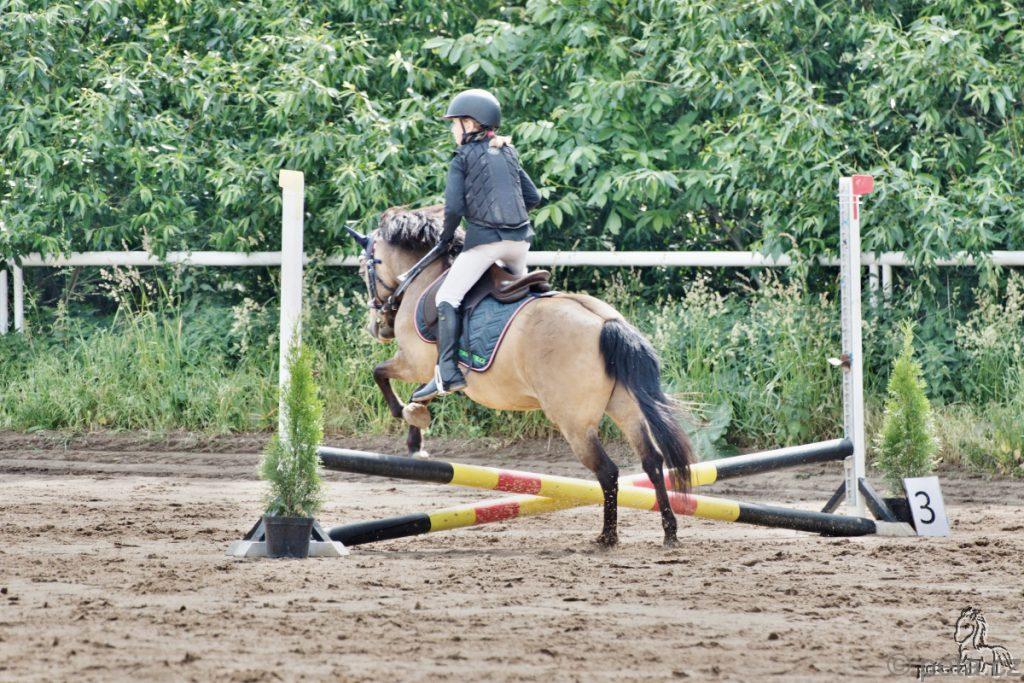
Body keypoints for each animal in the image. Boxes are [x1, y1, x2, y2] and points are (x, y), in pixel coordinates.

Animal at [346, 205, 695, 547]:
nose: (377, 328)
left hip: (576, 425)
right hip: (626, 408)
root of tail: (606, 323)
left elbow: (380, 373)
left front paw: (408, 416)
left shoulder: (413, 361)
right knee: (652, 462)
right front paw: (417, 426)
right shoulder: (427, 368)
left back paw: (607, 537)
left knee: (608, 471)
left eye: (364, 270)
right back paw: (669, 531)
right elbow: (424, 388)